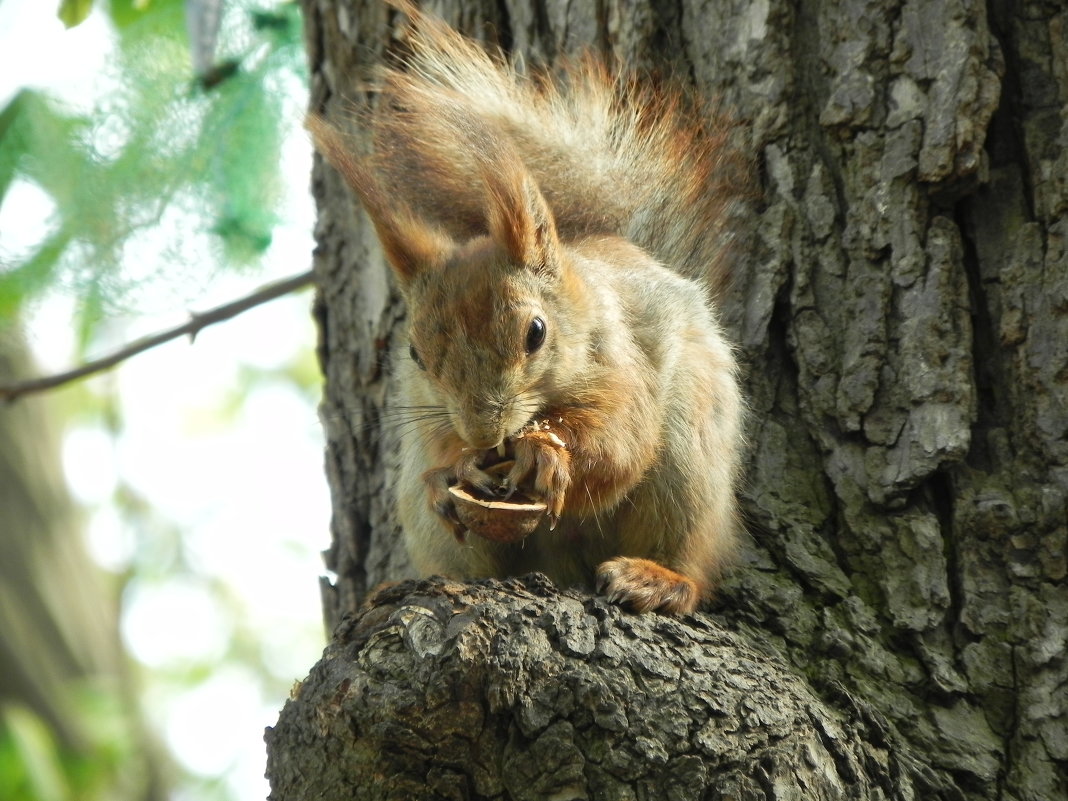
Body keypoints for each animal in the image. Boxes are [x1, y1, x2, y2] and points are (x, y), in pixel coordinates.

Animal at [309, 0, 743, 615]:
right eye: (415, 354)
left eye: (536, 332)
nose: (485, 434)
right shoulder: (424, 405)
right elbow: (442, 443)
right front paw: (457, 467)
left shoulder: (621, 361)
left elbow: (621, 439)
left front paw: (546, 454)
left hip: (688, 461)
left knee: (688, 554)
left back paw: (657, 579)